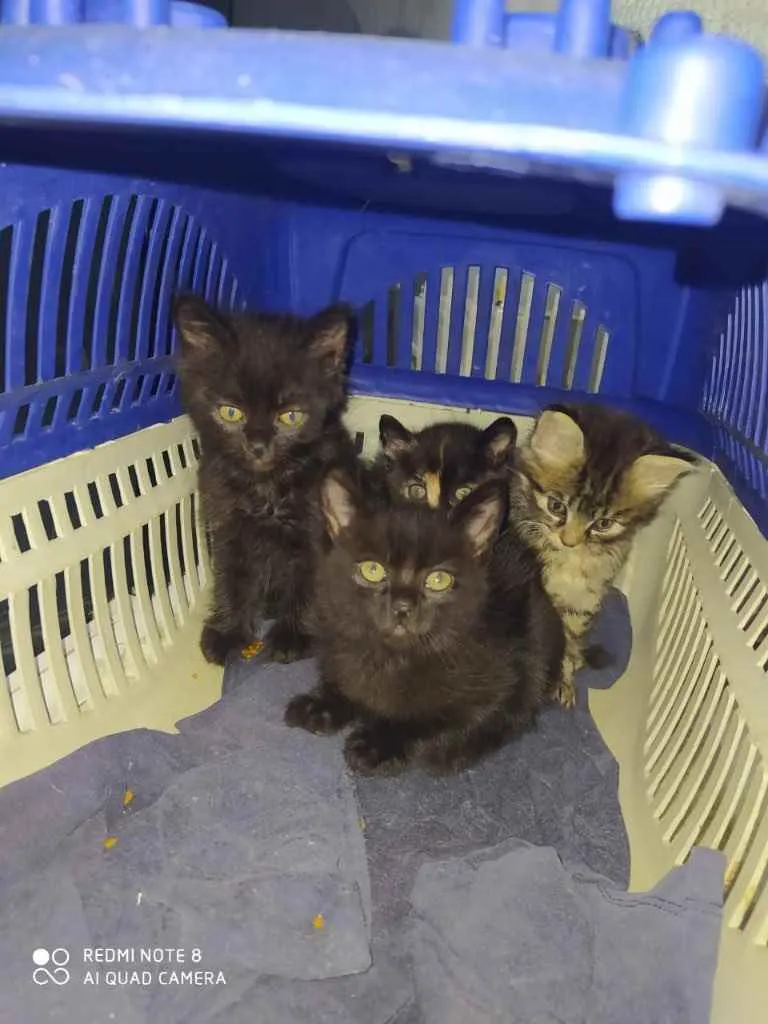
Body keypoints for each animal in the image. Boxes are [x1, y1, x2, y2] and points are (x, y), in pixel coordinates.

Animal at [173, 294, 358, 666]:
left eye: (290, 416)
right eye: (231, 412)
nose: (258, 447)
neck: (265, 487)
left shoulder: (317, 531)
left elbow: (310, 581)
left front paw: (294, 635)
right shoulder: (225, 522)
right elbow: (231, 576)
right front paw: (229, 631)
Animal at [284, 470, 564, 775]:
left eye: (438, 580)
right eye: (372, 570)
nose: (402, 607)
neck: (394, 657)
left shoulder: (506, 677)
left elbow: (439, 718)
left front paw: (377, 743)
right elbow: (343, 678)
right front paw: (321, 704)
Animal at [512, 402, 697, 706]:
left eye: (603, 524)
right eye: (556, 506)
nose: (570, 541)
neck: (570, 562)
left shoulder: (584, 601)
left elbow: (568, 639)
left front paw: (563, 681)